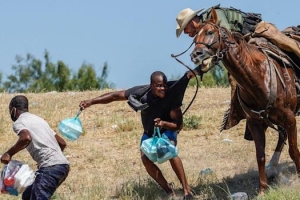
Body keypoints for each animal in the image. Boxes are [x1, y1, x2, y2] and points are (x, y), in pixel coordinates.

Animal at [191, 7, 300, 194]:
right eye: (193, 38)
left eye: (210, 32)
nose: (196, 55)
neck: (258, 77)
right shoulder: (255, 122)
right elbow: (260, 155)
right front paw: (262, 189)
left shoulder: (290, 118)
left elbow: (293, 150)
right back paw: (272, 168)